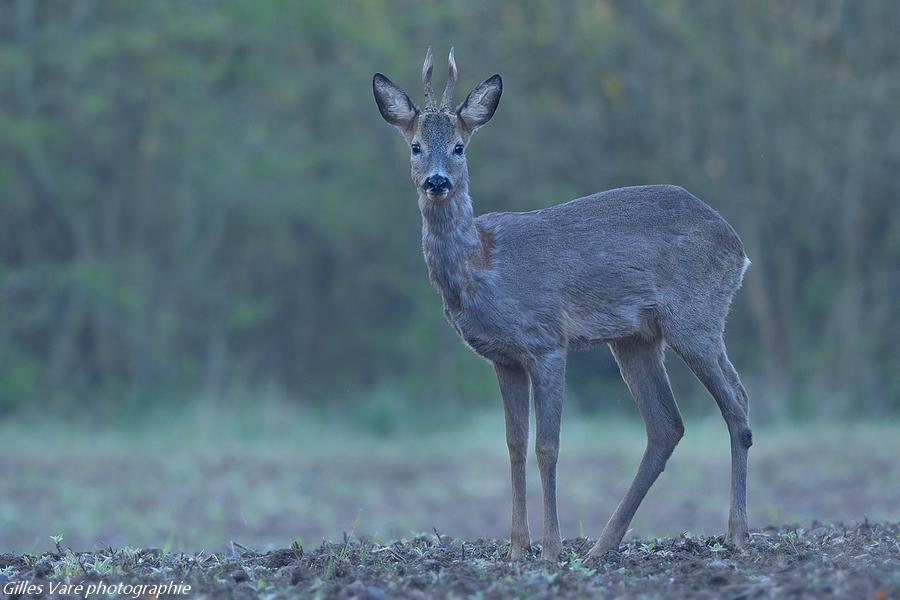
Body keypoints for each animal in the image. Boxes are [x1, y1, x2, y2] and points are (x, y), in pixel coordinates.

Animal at [372, 48, 752, 564]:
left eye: (458, 147)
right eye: (414, 146)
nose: (436, 181)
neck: (483, 266)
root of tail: (738, 247)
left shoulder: (546, 340)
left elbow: (547, 446)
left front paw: (550, 550)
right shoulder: (503, 359)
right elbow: (514, 444)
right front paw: (516, 548)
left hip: (696, 315)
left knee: (736, 402)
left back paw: (736, 534)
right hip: (636, 337)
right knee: (666, 425)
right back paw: (602, 546)